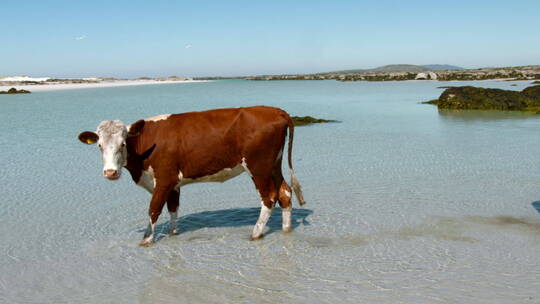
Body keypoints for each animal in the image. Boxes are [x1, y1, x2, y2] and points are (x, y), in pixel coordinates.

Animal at [76, 105, 306, 246]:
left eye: (123, 144)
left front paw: (146, 240)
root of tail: (275, 111)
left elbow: (153, 209)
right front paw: (172, 235)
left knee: (269, 197)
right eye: (99, 145)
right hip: (274, 165)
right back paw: (286, 230)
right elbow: (173, 209)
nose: (110, 172)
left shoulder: (165, 179)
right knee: (285, 193)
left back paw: (255, 234)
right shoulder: (174, 184)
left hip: (259, 167)